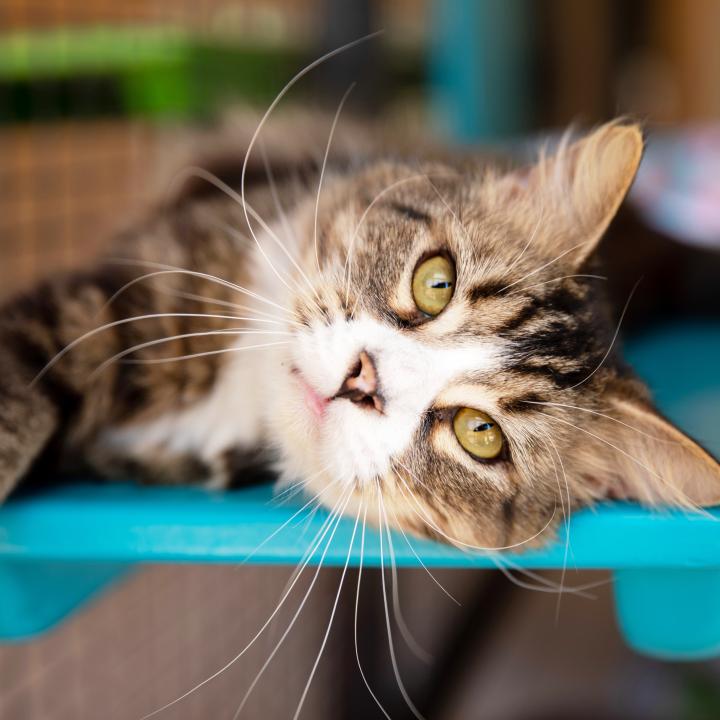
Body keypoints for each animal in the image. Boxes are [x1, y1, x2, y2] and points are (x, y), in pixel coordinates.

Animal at [1, 114, 720, 552]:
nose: (361, 380)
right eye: (436, 282)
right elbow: (21, 398)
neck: (244, 398)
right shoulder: (112, 297)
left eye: (481, 435)